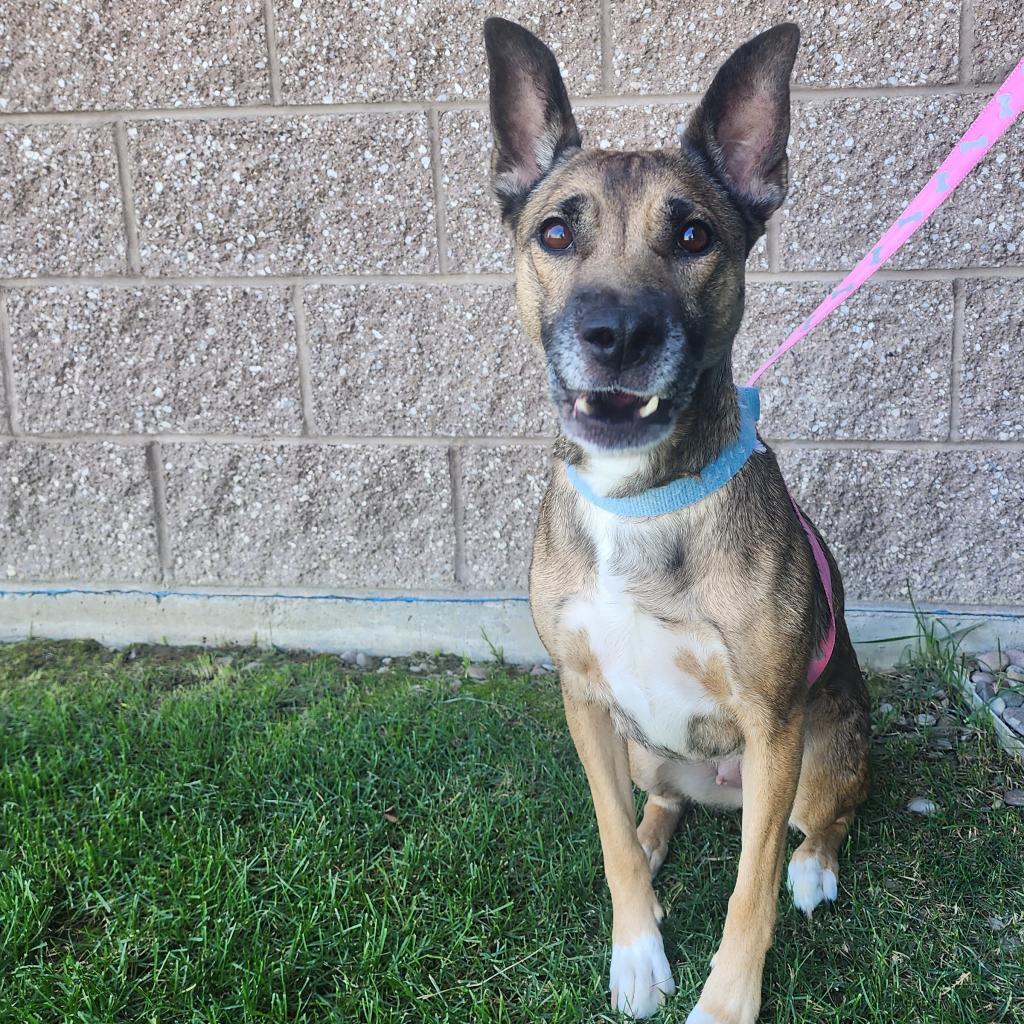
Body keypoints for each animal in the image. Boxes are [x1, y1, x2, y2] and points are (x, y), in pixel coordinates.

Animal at [483, 16, 868, 1024]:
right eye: (555, 231)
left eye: (694, 234)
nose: (617, 335)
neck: (639, 498)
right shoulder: (582, 698)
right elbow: (611, 835)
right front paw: (638, 951)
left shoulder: (773, 722)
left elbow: (749, 889)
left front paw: (727, 1000)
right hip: (643, 747)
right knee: (657, 802)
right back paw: (660, 847)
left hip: (822, 750)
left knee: (817, 822)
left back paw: (816, 868)